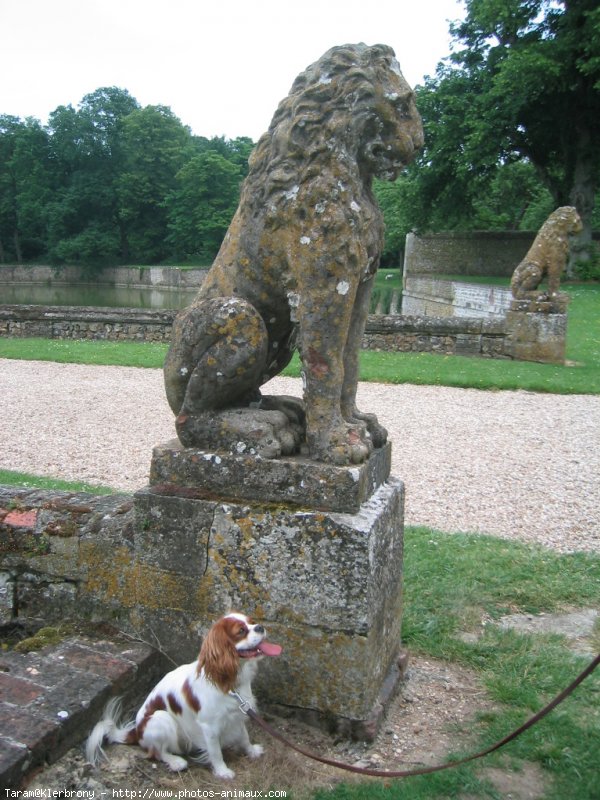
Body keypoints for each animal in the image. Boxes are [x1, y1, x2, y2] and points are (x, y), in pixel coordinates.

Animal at [87, 616, 284, 780]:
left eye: (252, 622)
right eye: (241, 631)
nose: (260, 627)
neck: (228, 682)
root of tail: (136, 730)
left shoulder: (238, 713)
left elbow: (243, 736)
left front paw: (251, 751)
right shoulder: (209, 727)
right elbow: (215, 752)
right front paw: (222, 771)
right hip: (161, 718)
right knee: (156, 752)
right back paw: (176, 762)